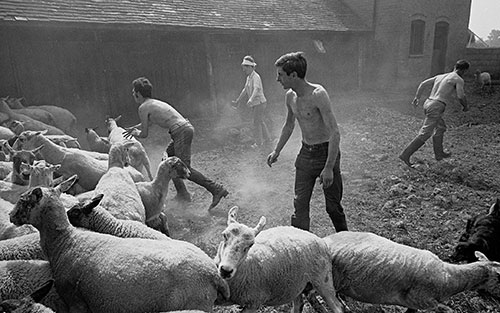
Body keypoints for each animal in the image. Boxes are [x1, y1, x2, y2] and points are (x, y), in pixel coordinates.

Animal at [8, 176, 230, 312]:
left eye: (24, 200)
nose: (10, 215)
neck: (66, 241)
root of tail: (214, 274)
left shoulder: (76, 301)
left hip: (195, 304)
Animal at [213, 205, 346, 312]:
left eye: (250, 245)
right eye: (224, 235)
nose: (226, 270)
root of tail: (319, 238)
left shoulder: (254, 303)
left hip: (323, 280)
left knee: (337, 307)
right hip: (296, 284)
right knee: (300, 304)